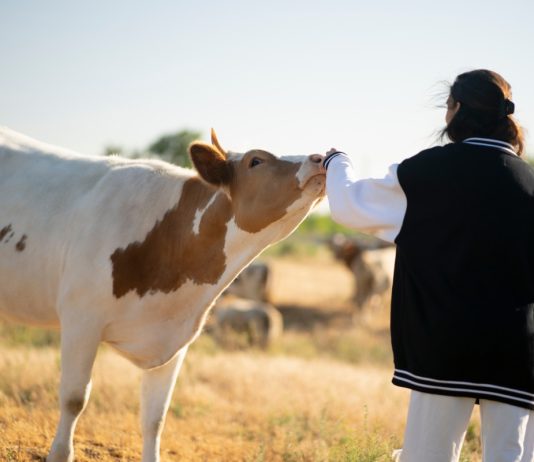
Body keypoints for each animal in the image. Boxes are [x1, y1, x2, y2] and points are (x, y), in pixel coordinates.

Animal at [0, 127, 326, 462]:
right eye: (256, 160)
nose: (319, 157)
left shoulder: (175, 340)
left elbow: (155, 417)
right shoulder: (81, 320)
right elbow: (74, 397)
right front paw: (60, 453)